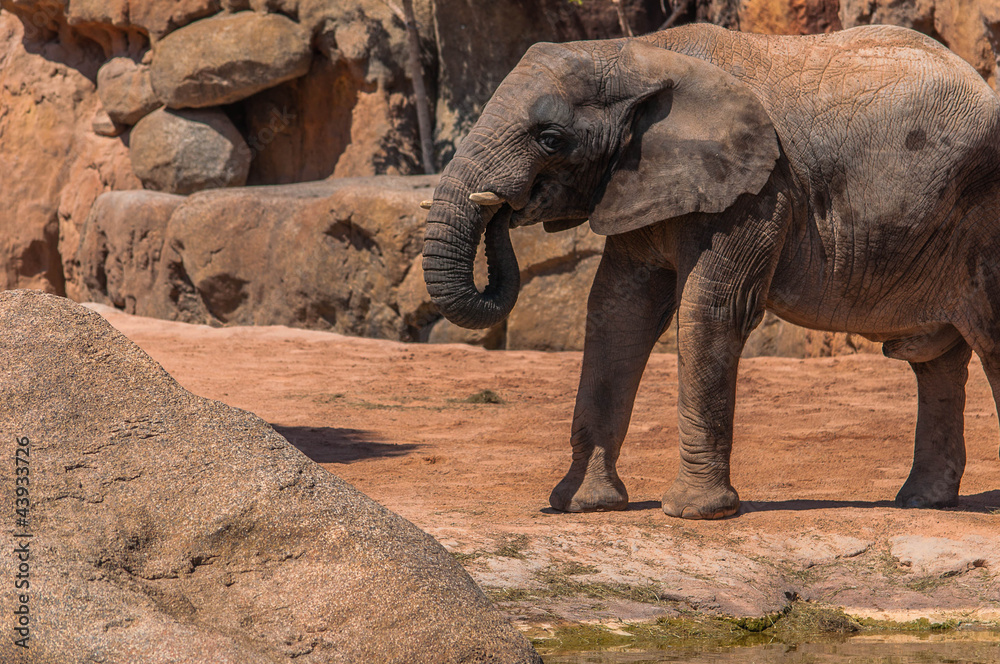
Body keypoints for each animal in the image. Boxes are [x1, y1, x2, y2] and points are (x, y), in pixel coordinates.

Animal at [420, 23, 1000, 519]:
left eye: (549, 138)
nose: (504, 208)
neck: (634, 53)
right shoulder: (641, 182)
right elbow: (616, 311)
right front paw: (580, 505)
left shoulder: (758, 191)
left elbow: (712, 309)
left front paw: (694, 513)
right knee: (936, 365)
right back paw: (923, 502)